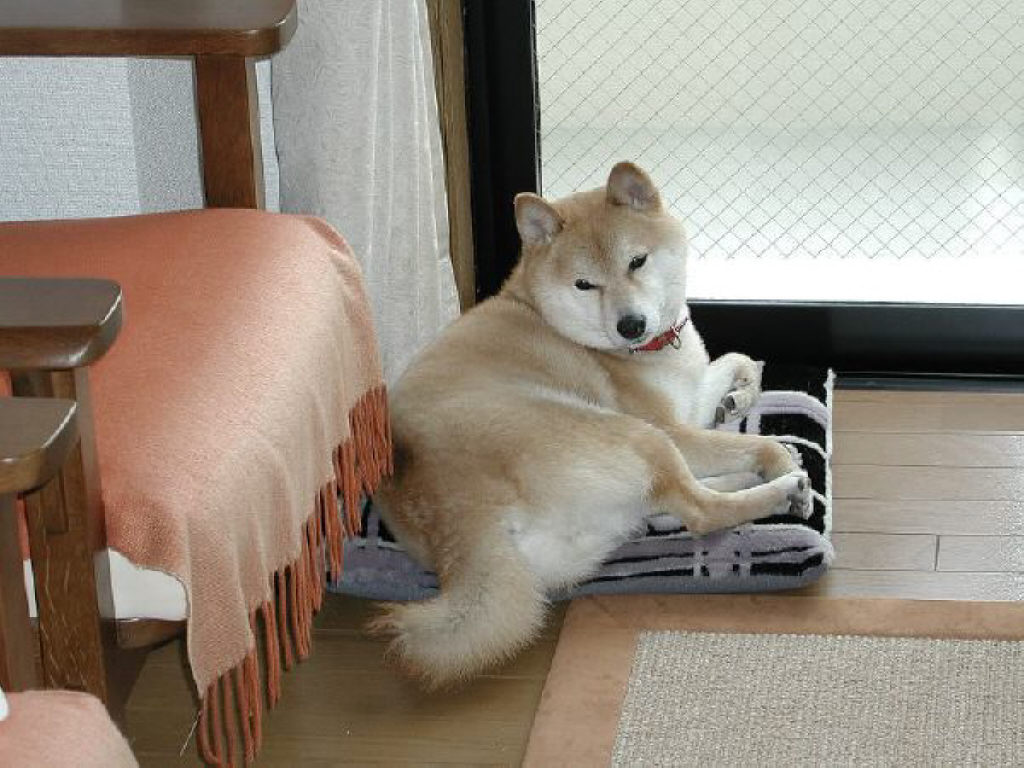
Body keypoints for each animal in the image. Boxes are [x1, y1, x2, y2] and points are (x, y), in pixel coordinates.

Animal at [372, 162, 810, 687]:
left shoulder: (686, 398)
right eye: (585, 285)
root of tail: (456, 517)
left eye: (637, 262)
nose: (630, 325)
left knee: (666, 509)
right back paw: (783, 488)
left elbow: (737, 361)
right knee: (698, 510)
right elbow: (756, 443)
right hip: (634, 434)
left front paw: (736, 397)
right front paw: (775, 454)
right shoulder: (672, 427)